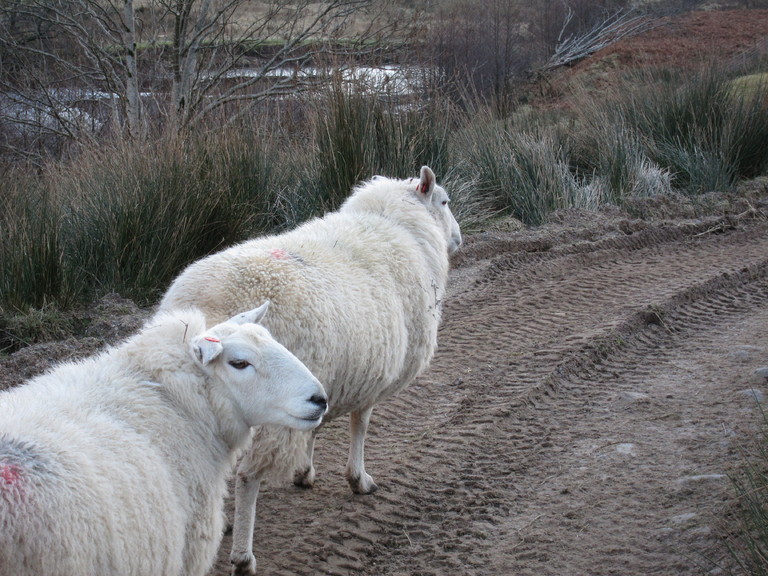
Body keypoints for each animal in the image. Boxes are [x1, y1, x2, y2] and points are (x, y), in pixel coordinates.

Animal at [159, 164, 462, 572]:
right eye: (444, 201)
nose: (459, 238)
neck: (399, 226)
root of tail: (209, 305)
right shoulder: (371, 374)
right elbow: (360, 425)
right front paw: (359, 479)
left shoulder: (323, 377)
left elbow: (315, 426)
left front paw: (305, 472)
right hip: (267, 411)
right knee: (248, 477)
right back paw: (243, 556)